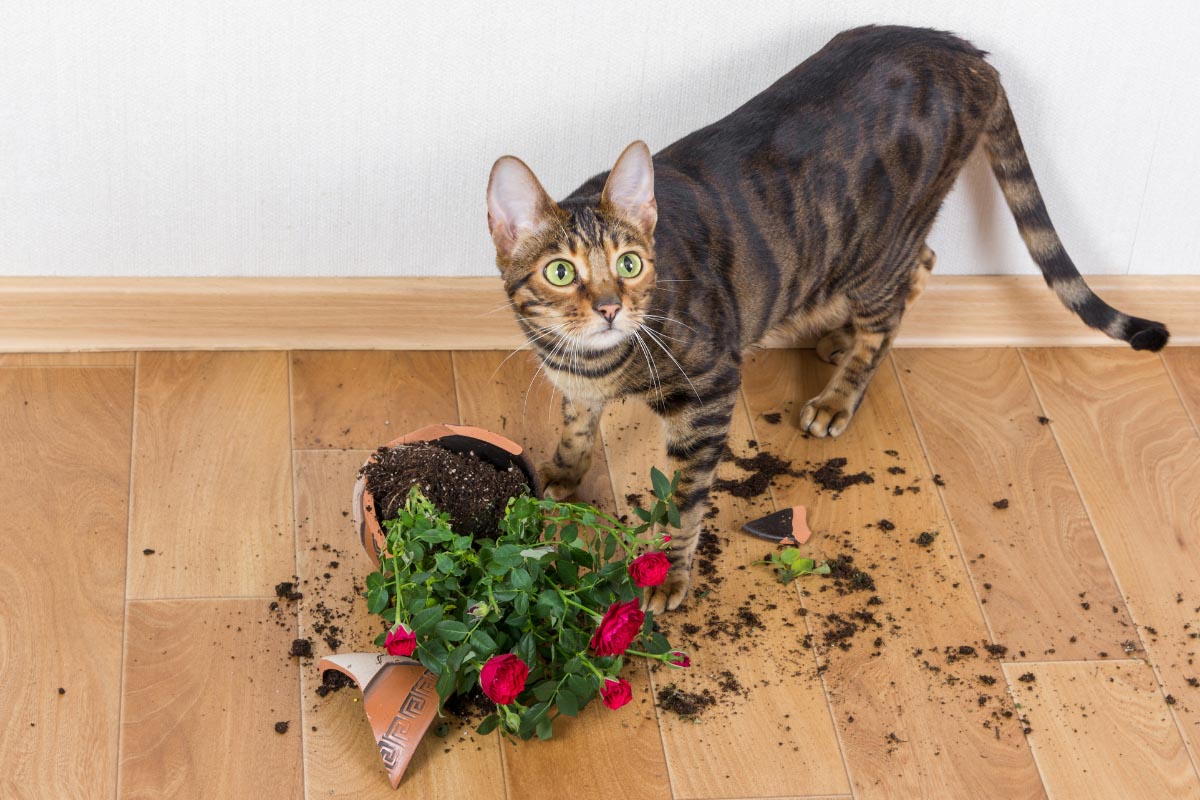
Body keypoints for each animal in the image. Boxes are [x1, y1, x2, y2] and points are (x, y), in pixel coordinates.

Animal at [482, 23, 1166, 614]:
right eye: (560, 272)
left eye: (629, 263)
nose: (609, 308)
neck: (596, 360)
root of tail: (966, 51)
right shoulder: (576, 385)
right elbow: (575, 425)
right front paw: (562, 473)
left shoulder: (708, 391)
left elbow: (685, 500)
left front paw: (667, 575)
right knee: (923, 266)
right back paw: (837, 339)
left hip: (876, 248)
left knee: (900, 293)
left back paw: (839, 394)